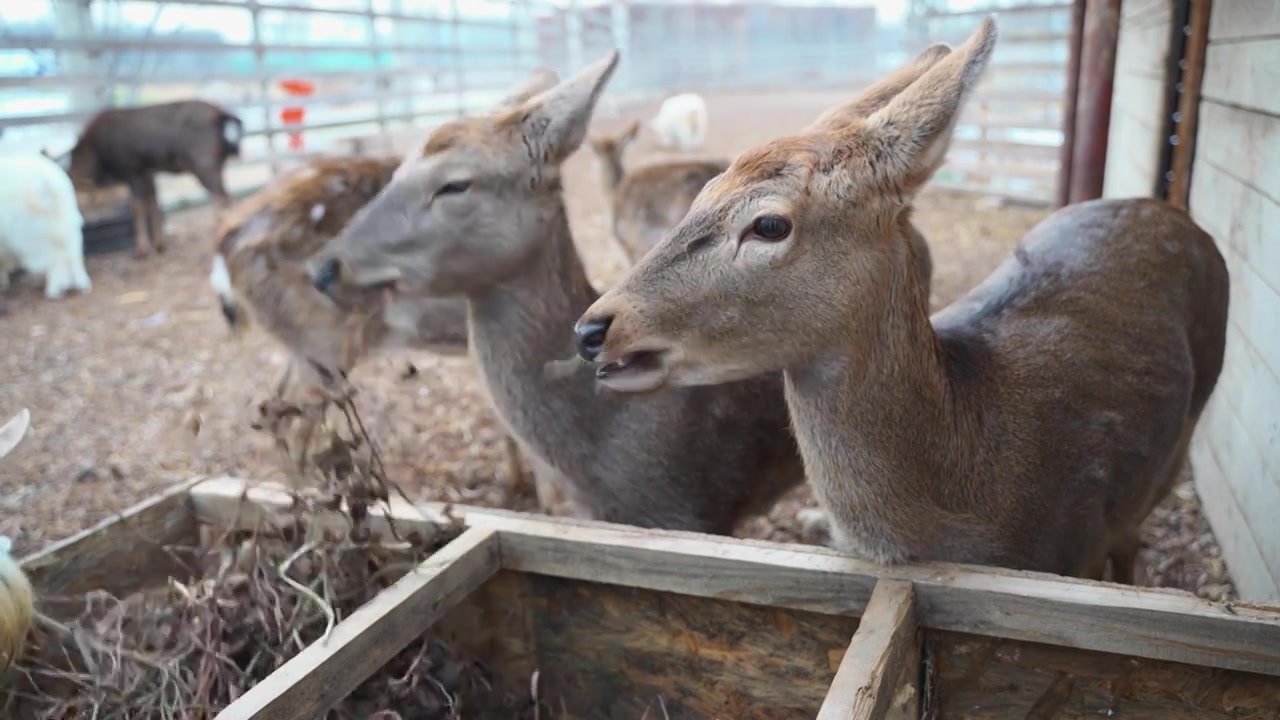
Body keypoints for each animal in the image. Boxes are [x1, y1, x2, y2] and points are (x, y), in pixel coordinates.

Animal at [0, 152, 92, 298]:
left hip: (28, 237)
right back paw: (79, 284)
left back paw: (55, 290)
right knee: (72, 255)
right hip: (68, 227)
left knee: (56, 259)